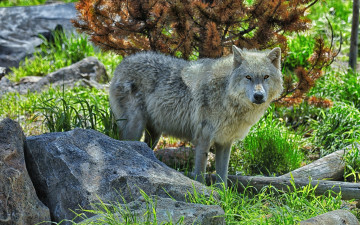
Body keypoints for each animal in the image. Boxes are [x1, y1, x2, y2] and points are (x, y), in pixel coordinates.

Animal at [108, 45, 282, 185]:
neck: (225, 94)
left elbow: (223, 178)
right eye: (248, 77)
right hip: (135, 128)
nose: (258, 96)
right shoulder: (203, 140)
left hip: (154, 135)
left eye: (266, 77)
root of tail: (121, 64)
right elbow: (200, 173)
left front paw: (223, 196)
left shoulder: (225, 142)